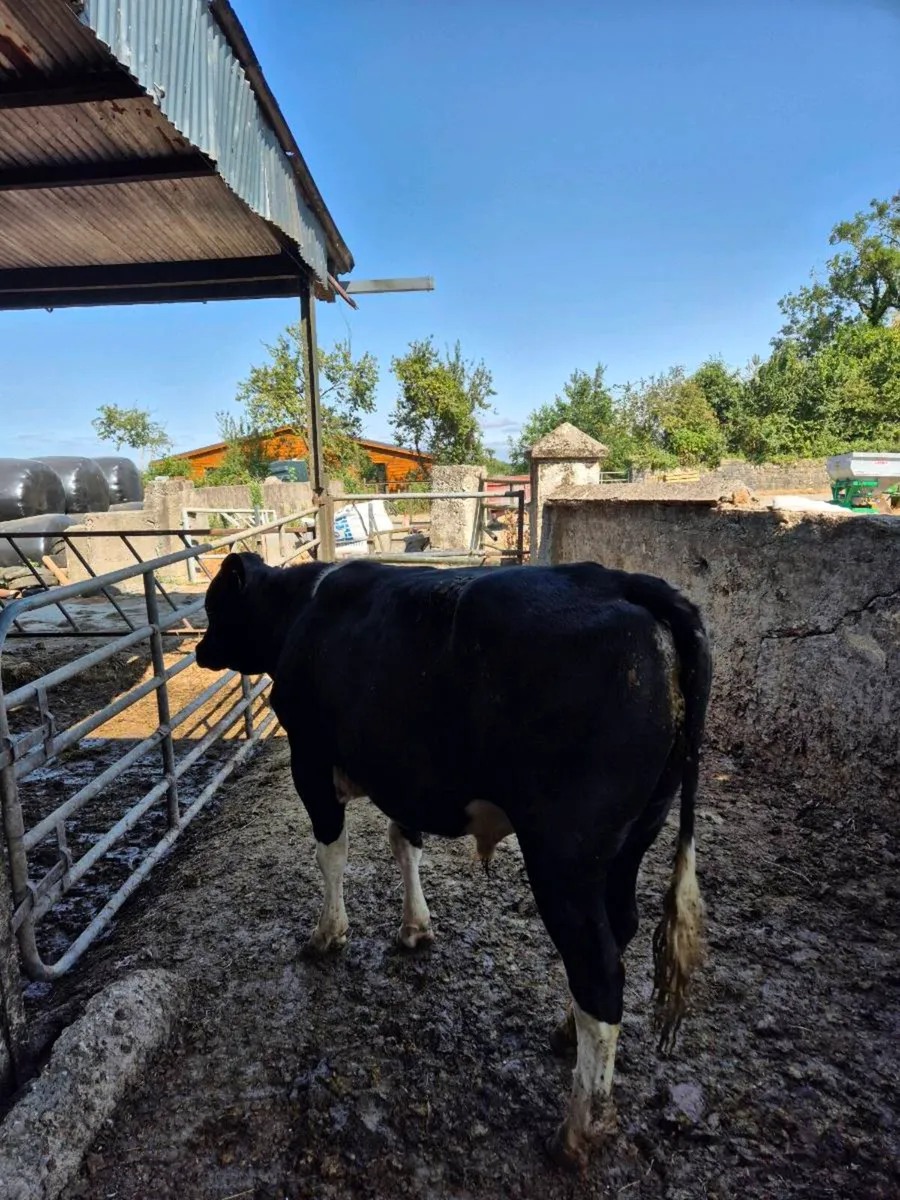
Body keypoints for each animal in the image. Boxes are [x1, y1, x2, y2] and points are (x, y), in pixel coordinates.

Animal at [195, 553, 712, 1170]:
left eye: (214, 603)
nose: (198, 650)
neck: (301, 608)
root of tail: (627, 582)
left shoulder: (311, 761)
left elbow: (332, 854)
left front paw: (328, 933)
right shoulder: (402, 774)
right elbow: (404, 843)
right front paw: (416, 927)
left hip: (564, 853)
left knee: (598, 968)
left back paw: (579, 1128)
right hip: (636, 834)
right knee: (620, 929)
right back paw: (567, 1032)